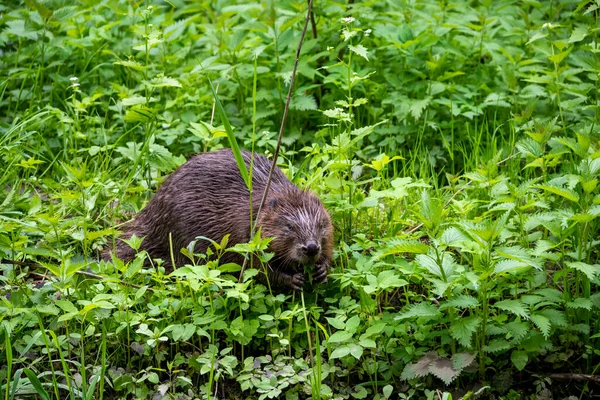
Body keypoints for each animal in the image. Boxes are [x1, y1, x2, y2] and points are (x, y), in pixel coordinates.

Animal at [108, 148, 332, 290]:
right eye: (289, 226)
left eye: (321, 224)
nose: (311, 247)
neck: (256, 204)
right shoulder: (244, 234)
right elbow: (257, 268)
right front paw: (293, 279)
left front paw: (322, 269)